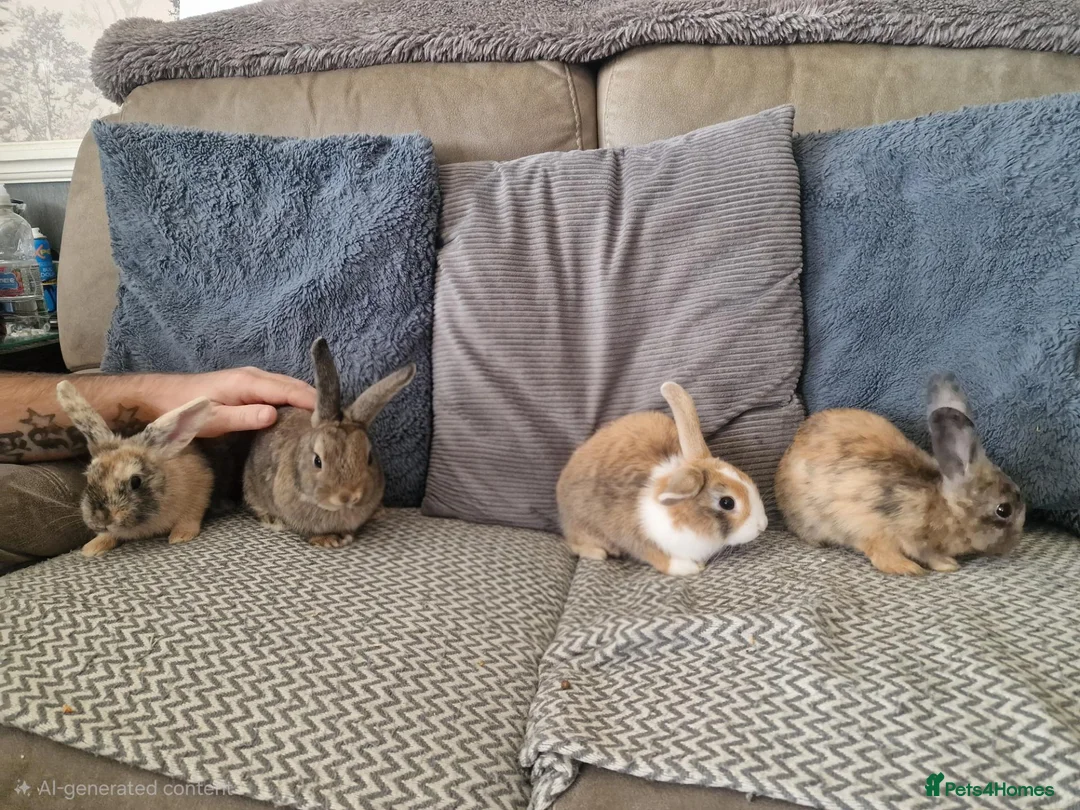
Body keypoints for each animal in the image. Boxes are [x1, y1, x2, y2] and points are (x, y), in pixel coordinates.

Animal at [55, 381, 215, 558]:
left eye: (136, 481)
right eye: (89, 478)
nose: (101, 519)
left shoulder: (200, 491)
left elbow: (189, 517)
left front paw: (180, 536)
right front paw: (92, 548)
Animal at [557, 381, 768, 576]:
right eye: (727, 502)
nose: (763, 525)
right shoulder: (633, 535)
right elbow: (656, 557)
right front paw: (688, 567)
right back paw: (598, 553)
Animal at [774, 374, 1025, 576]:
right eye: (1004, 510)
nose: (1015, 542)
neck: (945, 508)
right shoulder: (884, 529)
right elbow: (900, 554)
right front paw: (941, 565)